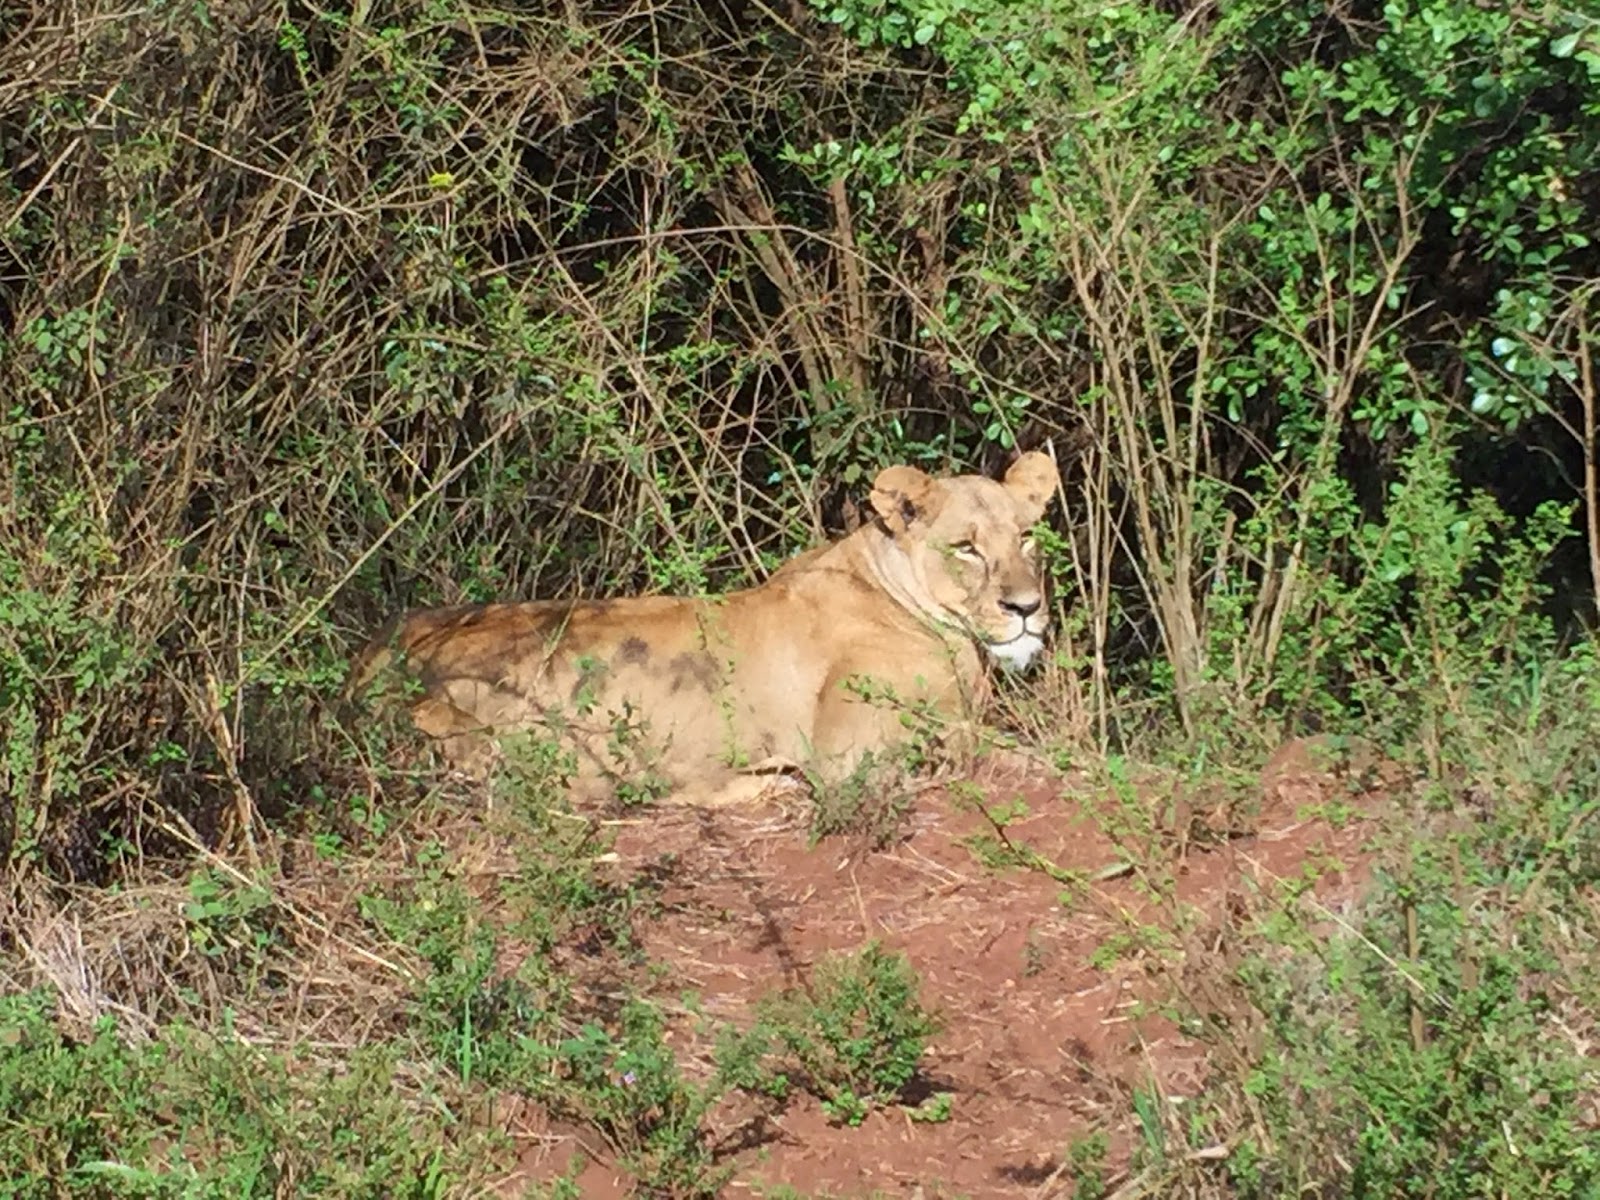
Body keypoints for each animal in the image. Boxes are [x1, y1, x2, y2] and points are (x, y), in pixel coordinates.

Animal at [348, 452, 1060, 807]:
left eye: (1027, 536)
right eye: (966, 547)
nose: (1027, 606)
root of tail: (371, 661)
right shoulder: (850, 756)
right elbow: (985, 750)